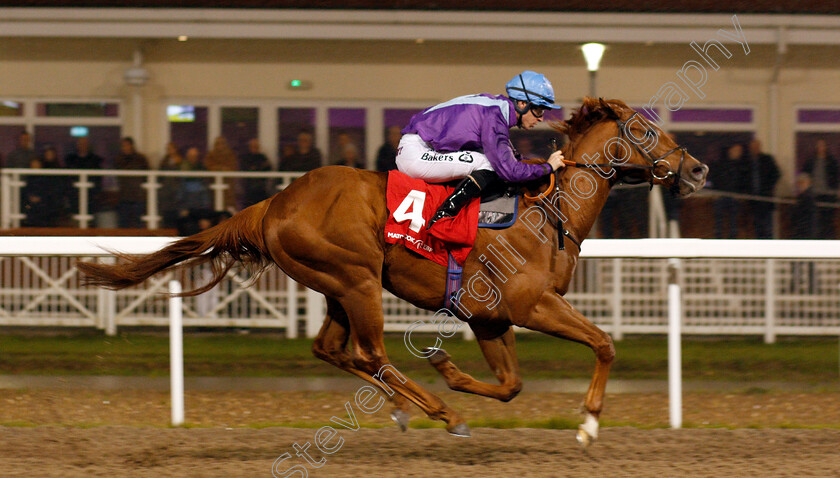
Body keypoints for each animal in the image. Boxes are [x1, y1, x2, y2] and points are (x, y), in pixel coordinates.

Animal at [79, 99, 708, 446]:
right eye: (645, 132)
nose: (698, 169)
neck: (546, 211)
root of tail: (275, 203)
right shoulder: (530, 305)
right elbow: (603, 343)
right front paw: (589, 424)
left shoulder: (489, 318)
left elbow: (511, 385)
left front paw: (451, 369)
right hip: (356, 279)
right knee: (372, 353)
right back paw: (442, 413)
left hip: (334, 285)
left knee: (332, 349)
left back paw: (412, 406)